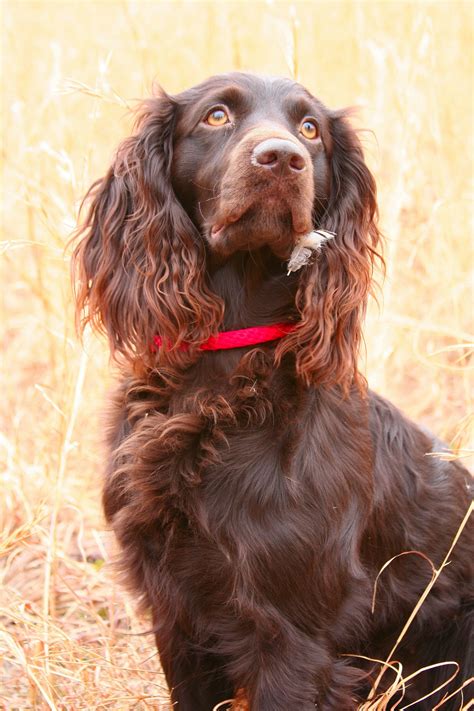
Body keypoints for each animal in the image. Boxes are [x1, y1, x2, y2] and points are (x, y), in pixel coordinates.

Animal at [72, 73, 472, 711]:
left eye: (310, 129)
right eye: (216, 116)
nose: (282, 158)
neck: (225, 372)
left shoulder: (290, 637)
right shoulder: (176, 616)